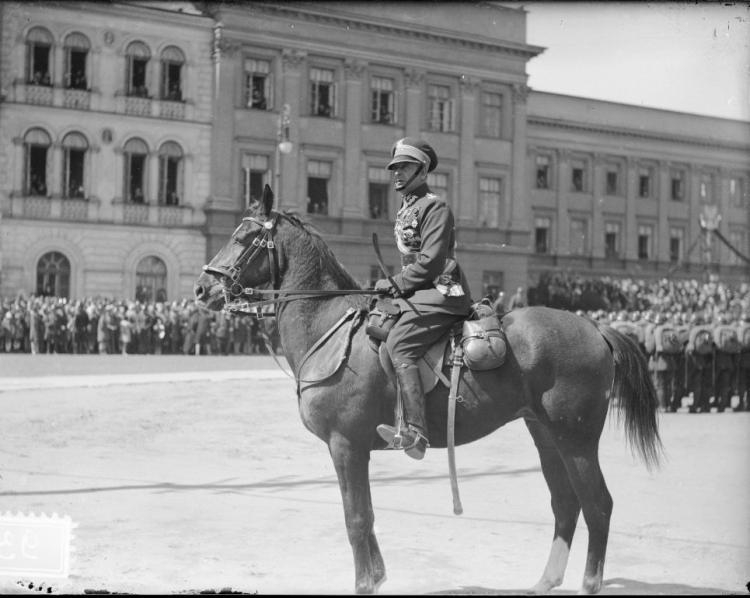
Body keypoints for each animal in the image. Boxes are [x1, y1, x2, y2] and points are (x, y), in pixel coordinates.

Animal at [194, 185, 664, 596]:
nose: (202, 288)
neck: (330, 327)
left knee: (598, 505)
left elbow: (356, 518)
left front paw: (365, 584)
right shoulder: (354, 449)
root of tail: (595, 328)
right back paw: (545, 581)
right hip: (547, 436)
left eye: (242, 237)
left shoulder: (345, 445)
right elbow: (366, 514)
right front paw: (377, 576)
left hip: (577, 439)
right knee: (566, 504)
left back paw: (589, 584)